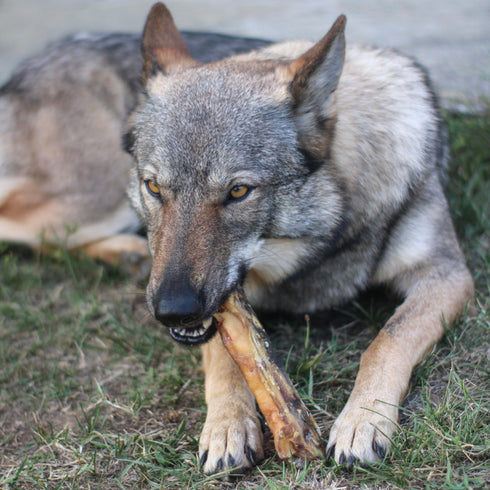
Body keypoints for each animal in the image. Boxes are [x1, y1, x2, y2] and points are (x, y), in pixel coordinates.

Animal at [0, 0, 474, 474]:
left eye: (238, 191)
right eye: (154, 187)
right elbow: (224, 358)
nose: (172, 311)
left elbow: (386, 340)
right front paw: (228, 424)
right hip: (97, 197)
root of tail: (35, 61)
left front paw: (363, 420)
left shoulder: (447, 274)